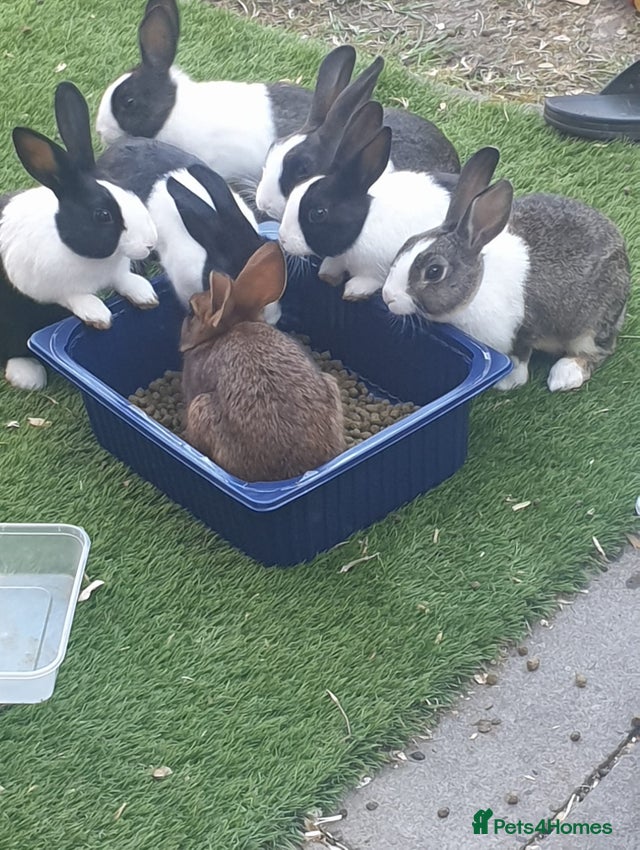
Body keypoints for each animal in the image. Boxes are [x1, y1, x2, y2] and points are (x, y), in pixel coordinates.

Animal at [0, 109, 158, 392]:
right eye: (103, 215)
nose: (151, 243)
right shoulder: (43, 285)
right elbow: (74, 296)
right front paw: (98, 315)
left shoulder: (117, 273)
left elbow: (124, 280)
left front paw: (145, 295)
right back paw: (28, 375)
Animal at [278, 100, 457, 301]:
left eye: (318, 213)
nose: (282, 239)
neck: (364, 223)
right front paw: (328, 275)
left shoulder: (384, 267)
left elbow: (373, 279)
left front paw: (354, 291)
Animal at [382, 147, 631, 392]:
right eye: (408, 242)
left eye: (434, 271)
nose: (387, 296)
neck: (477, 288)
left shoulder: (523, 330)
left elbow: (518, 359)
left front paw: (506, 382)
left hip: (591, 327)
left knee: (597, 351)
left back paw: (564, 375)